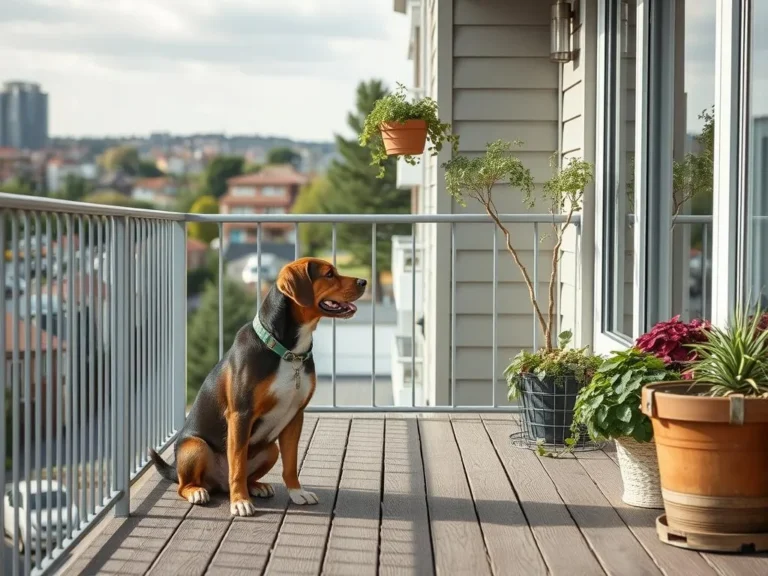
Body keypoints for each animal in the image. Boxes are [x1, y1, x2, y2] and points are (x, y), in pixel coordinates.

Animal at [152, 256, 368, 516]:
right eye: (328, 274)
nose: (364, 281)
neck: (288, 352)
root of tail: (218, 483)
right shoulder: (240, 414)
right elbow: (237, 464)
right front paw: (239, 502)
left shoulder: (295, 416)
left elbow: (291, 464)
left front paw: (297, 492)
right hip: (195, 446)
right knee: (185, 484)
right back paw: (199, 491)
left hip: (270, 449)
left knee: (248, 474)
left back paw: (256, 486)